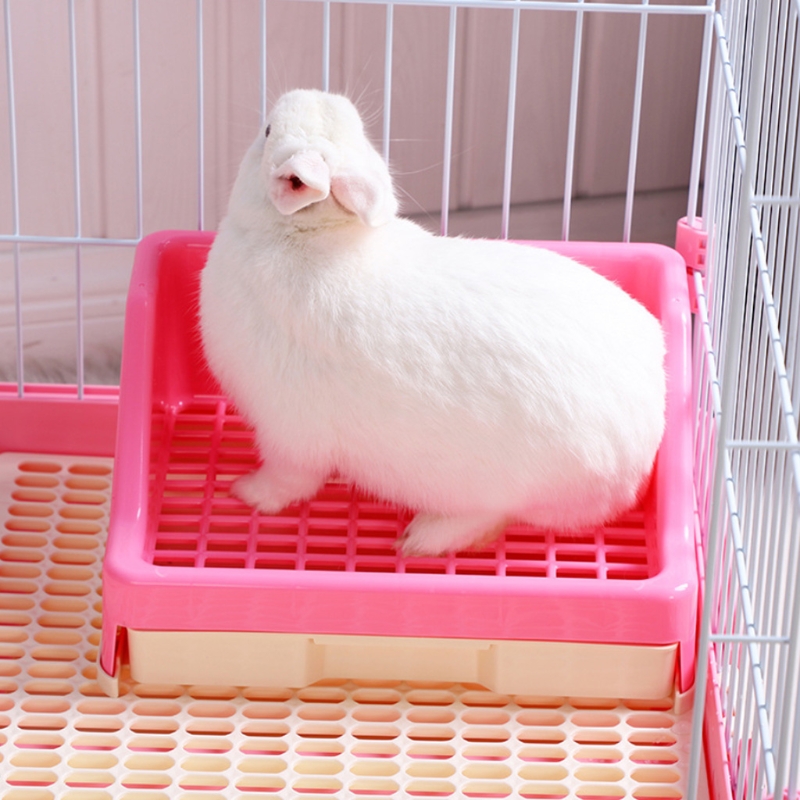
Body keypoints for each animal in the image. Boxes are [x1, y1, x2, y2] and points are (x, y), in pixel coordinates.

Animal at [199, 88, 667, 557]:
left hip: (506, 490)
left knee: (489, 515)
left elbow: (288, 480)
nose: (311, 92)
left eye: (266, 131)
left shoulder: (287, 435)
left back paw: (420, 539)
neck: (308, 233)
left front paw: (246, 492)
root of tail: (646, 445)